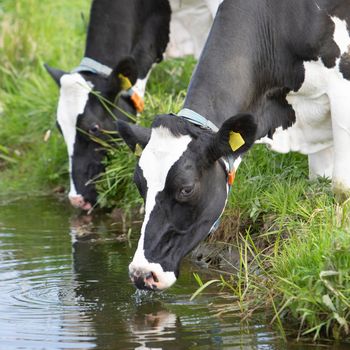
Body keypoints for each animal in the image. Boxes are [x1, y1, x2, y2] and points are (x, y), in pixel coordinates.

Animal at [117, 0, 350, 290]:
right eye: (139, 184)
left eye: (186, 189)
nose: (141, 273)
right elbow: (319, 180)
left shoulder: (342, 85)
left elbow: (341, 187)